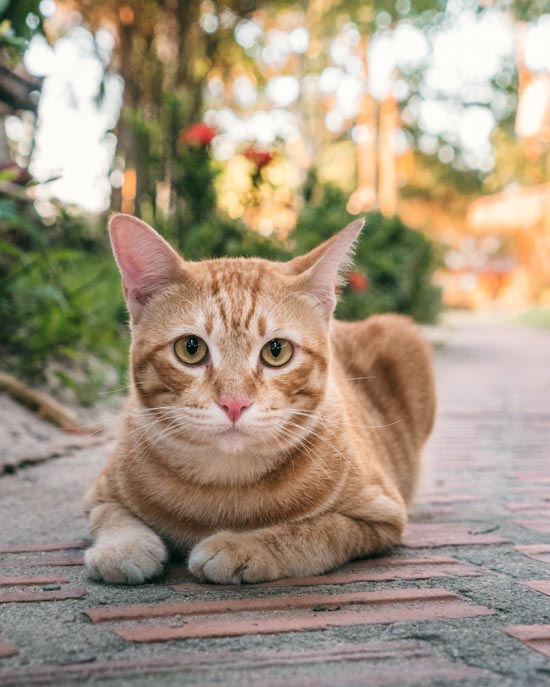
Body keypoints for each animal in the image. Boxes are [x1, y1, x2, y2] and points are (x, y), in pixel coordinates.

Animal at [84, 215, 438, 584]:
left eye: (276, 351)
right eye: (190, 348)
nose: (234, 403)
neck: (224, 484)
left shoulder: (380, 516)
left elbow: (314, 531)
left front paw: (242, 546)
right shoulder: (99, 496)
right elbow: (115, 517)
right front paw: (122, 548)